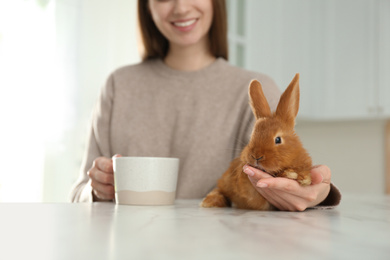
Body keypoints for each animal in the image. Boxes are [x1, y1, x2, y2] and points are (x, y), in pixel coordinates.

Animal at [200, 73, 312, 211]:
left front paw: (303, 178)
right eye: (252, 136)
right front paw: (291, 174)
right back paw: (209, 202)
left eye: (278, 139)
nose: (256, 156)